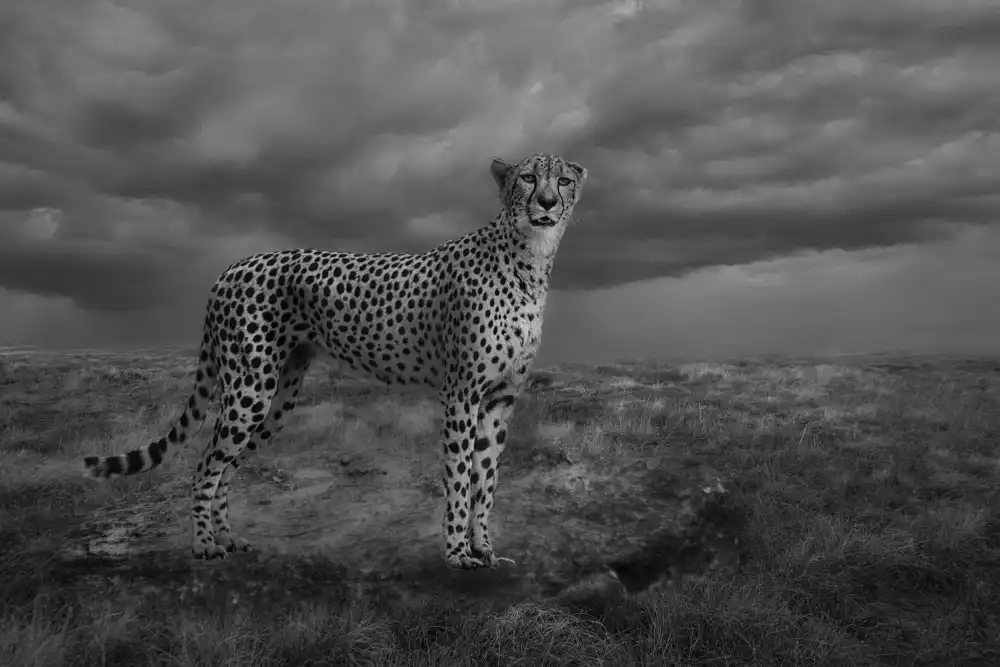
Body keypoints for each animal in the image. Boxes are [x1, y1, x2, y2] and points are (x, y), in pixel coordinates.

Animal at [83, 151, 588, 571]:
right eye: (528, 177)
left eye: (563, 180)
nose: (546, 203)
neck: (528, 259)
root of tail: (231, 268)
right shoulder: (461, 395)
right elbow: (461, 477)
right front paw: (457, 553)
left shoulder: (500, 398)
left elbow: (488, 477)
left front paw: (484, 548)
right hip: (250, 390)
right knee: (206, 464)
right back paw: (205, 545)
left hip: (277, 398)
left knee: (227, 466)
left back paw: (229, 538)